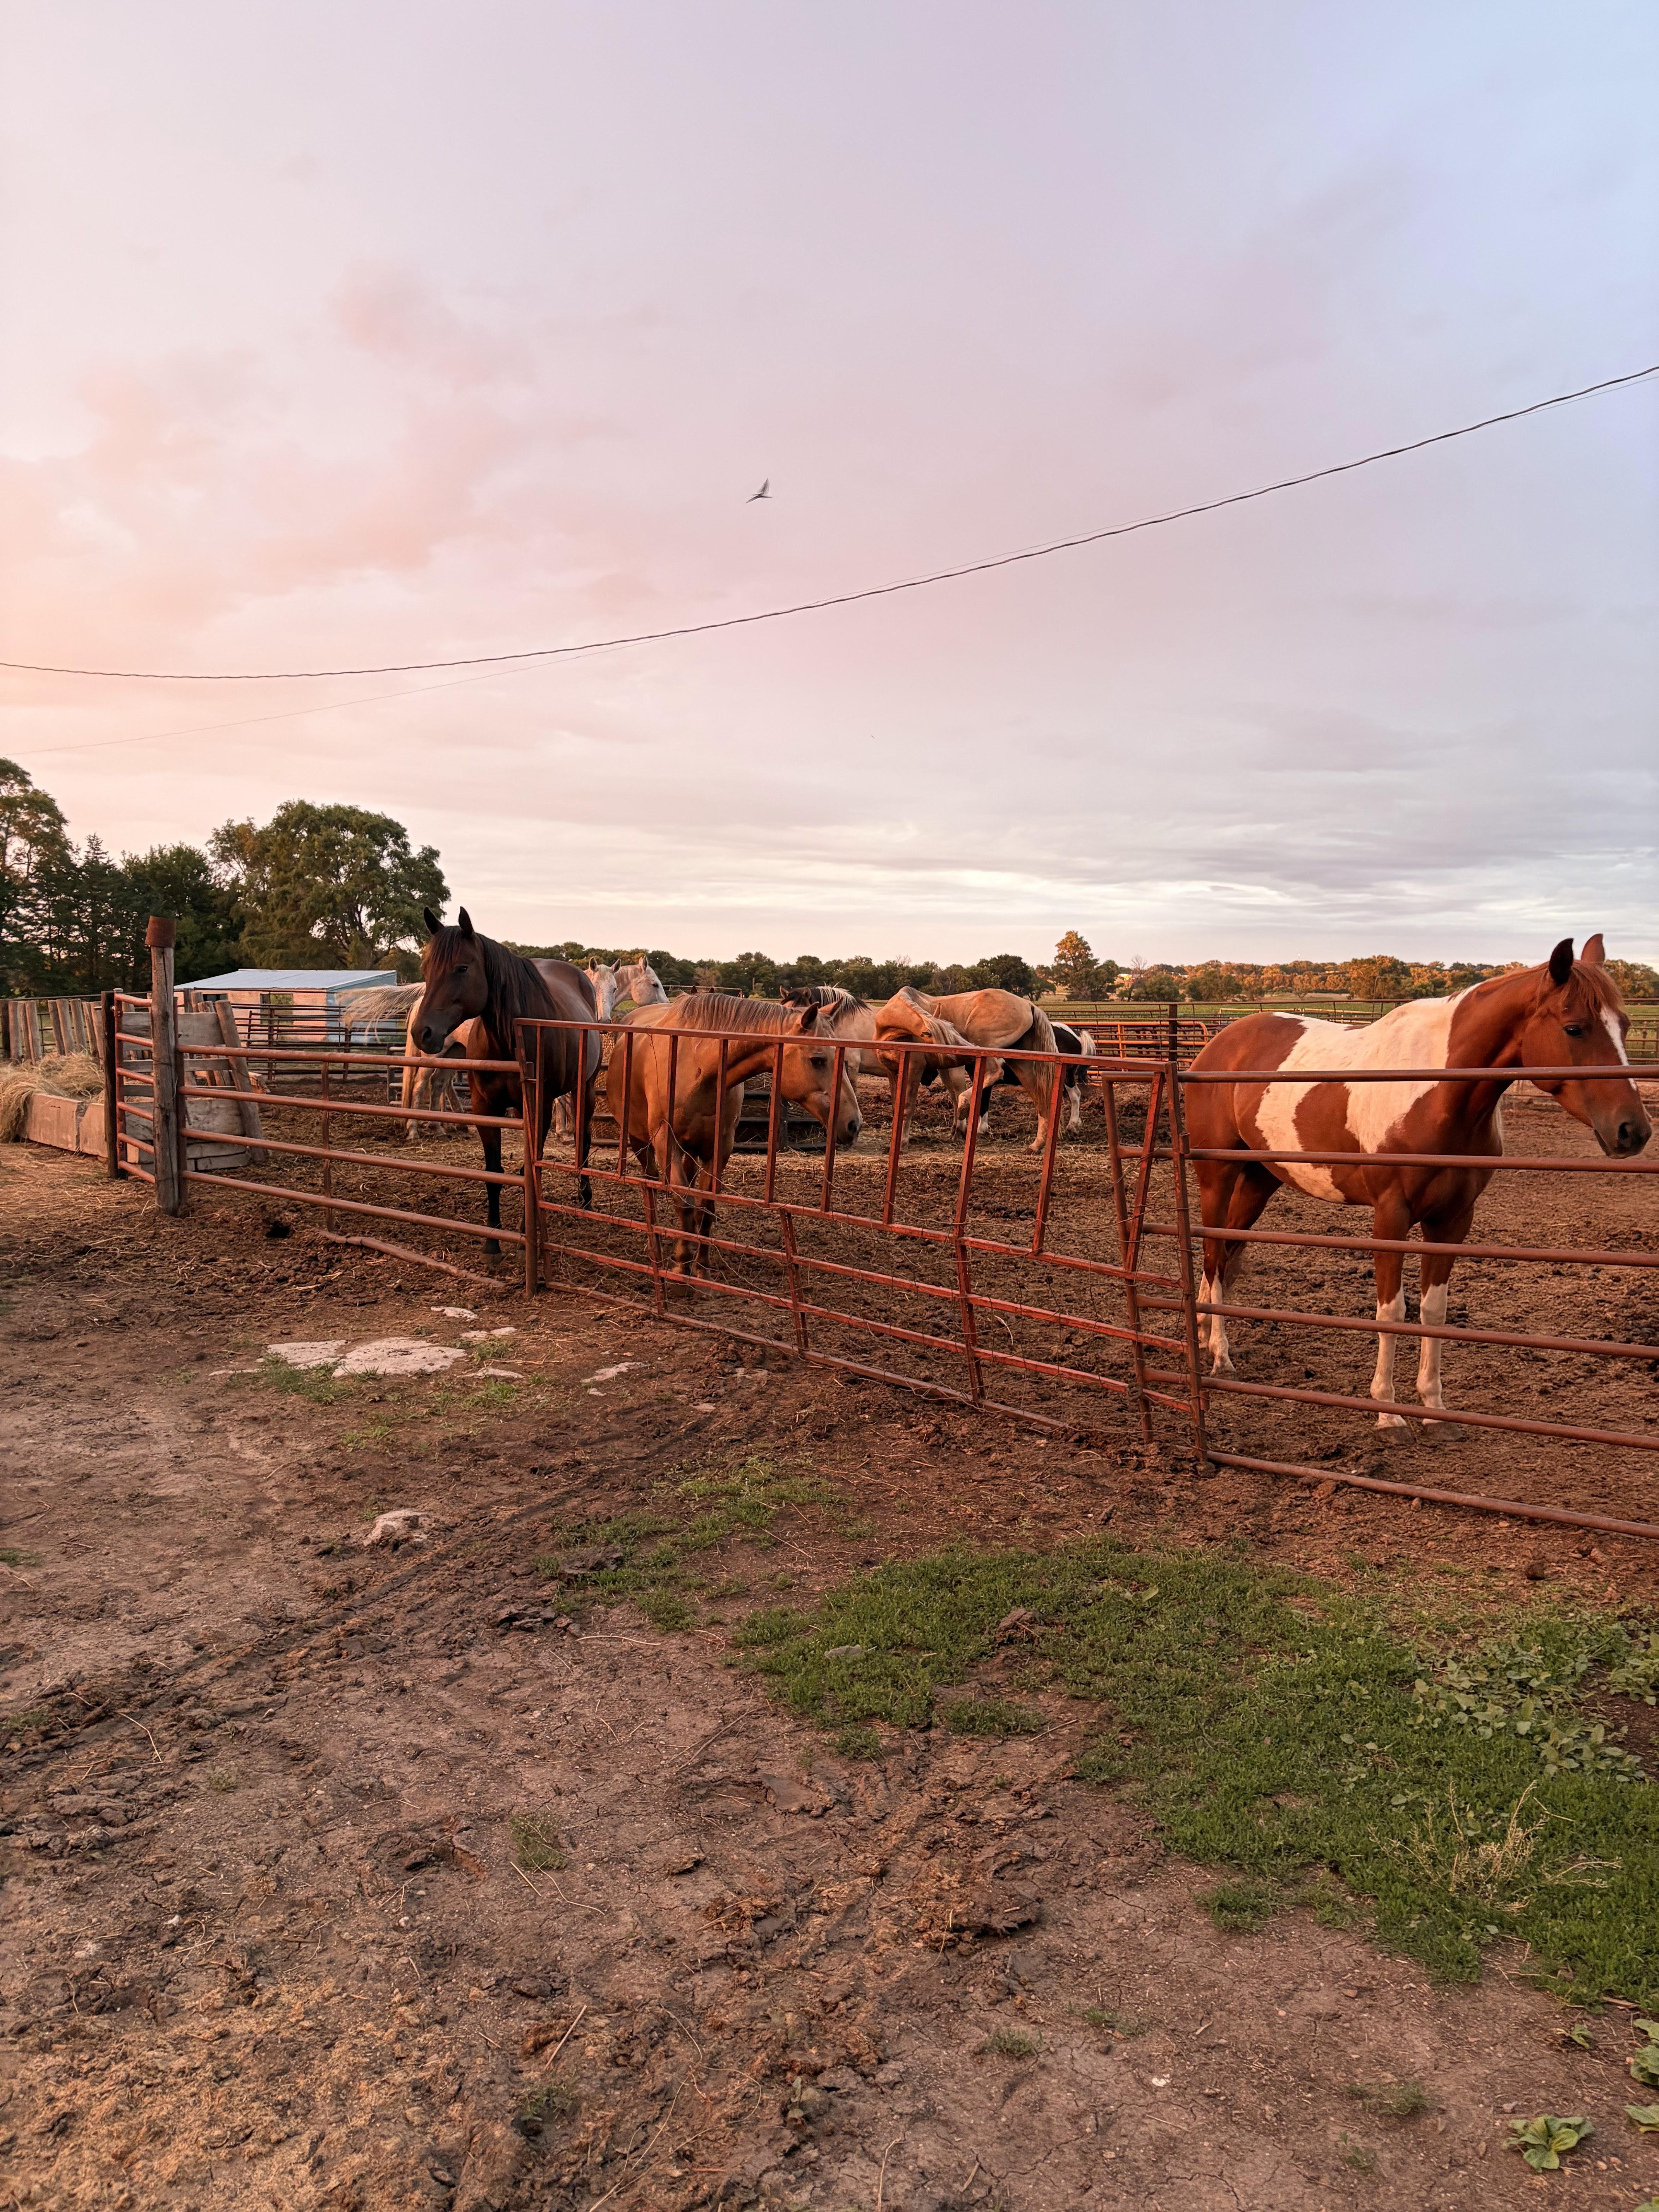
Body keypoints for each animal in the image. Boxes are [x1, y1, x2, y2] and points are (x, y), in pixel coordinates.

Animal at [411, 909, 602, 1254]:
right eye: (426, 969)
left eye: (462, 968)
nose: (422, 1033)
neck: (508, 1042)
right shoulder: (485, 1108)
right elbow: (494, 1172)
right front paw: (493, 1239)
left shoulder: (538, 1107)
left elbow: (533, 1169)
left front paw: (526, 1234)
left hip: (586, 1089)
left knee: (583, 1139)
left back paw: (585, 1199)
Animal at [606, 992, 861, 1277]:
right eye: (818, 1060)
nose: (853, 1124)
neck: (698, 1065)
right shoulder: (665, 1141)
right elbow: (683, 1202)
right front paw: (682, 1264)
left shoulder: (720, 1147)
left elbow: (706, 1208)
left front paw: (701, 1268)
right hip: (640, 1141)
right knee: (650, 1181)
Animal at [873, 986, 1061, 1151]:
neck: (891, 1033)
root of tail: (1029, 1005)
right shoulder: (892, 1072)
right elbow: (896, 1106)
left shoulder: (914, 1069)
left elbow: (907, 1107)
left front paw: (902, 1145)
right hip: (1020, 1064)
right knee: (1039, 1098)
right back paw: (1036, 1145)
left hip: (985, 1046)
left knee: (994, 1073)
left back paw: (964, 1108)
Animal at [1185, 935, 1651, 1430]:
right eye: (1574, 1028)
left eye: (1624, 1025)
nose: (1633, 1131)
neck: (1438, 1092)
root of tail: (1217, 1045)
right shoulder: (1391, 1216)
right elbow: (1392, 1310)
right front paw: (1388, 1414)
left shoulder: (1452, 1220)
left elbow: (1434, 1309)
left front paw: (1434, 1407)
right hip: (1217, 1177)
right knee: (1213, 1255)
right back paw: (1220, 1354)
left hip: (1259, 1180)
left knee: (1227, 1255)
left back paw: (1207, 1331)